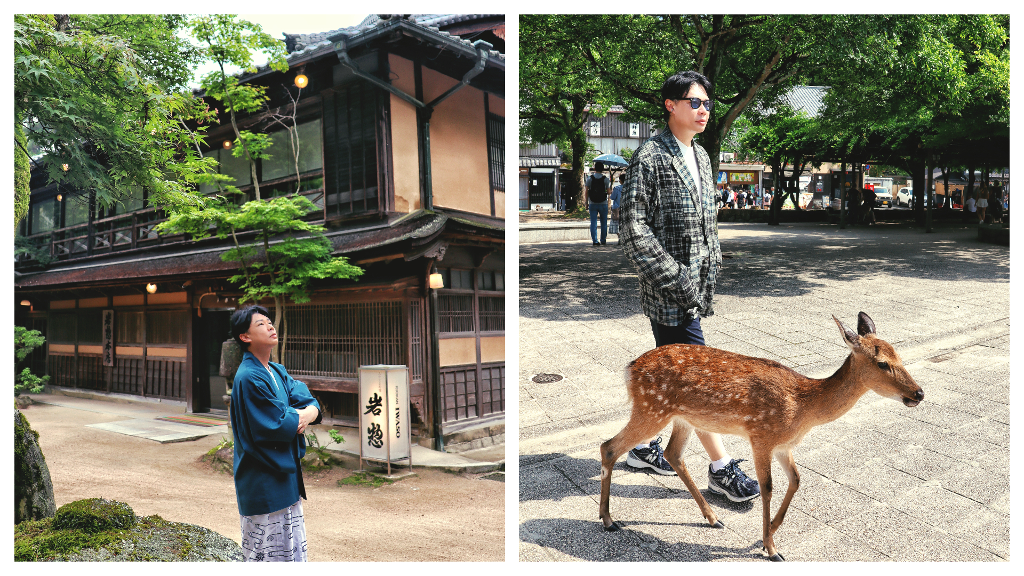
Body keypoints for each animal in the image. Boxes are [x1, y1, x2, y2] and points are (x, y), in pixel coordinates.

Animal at [598, 311, 925, 557]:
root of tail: (629, 369)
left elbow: (796, 480)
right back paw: (608, 520)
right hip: (652, 408)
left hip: (683, 417)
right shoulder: (761, 436)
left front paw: (771, 532)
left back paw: (713, 518)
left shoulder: (784, 444)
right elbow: (768, 488)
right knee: (609, 446)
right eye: (882, 363)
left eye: (898, 354)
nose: (919, 393)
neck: (803, 407)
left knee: (672, 453)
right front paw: (770, 548)